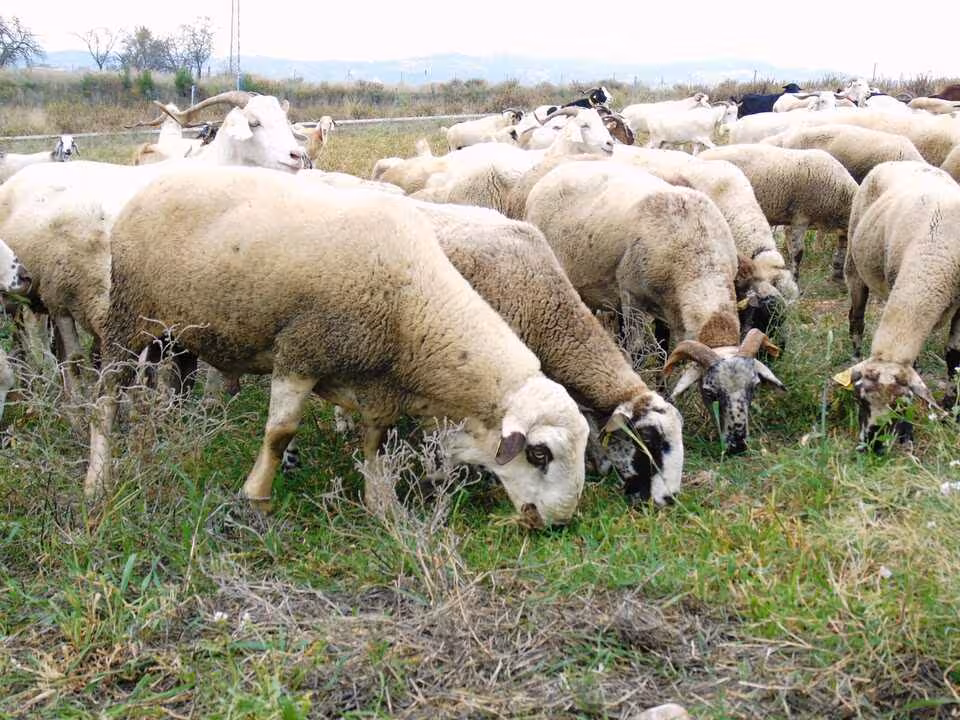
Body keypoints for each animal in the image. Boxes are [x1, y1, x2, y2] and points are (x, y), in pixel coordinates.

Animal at [89, 165, 590, 528]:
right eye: (539, 453)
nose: (557, 522)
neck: (412, 306)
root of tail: (158, 180)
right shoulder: (300, 352)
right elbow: (280, 433)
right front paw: (256, 498)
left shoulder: (379, 385)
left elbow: (376, 442)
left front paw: (382, 505)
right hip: (128, 315)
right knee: (107, 397)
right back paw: (98, 480)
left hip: (171, 332)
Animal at [521, 160, 785, 454]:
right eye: (709, 391)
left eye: (754, 387)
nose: (737, 445)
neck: (698, 254)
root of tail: (561, 169)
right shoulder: (632, 298)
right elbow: (637, 352)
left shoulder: (668, 309)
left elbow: (664, 352)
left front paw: (665, 394)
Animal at [842, 161, 960, 449]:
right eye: (860, 400)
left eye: (902, 403)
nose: (874, 445)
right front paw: (907, 433)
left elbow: (954, 357)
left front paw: (951, 409)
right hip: (854, 264)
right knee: (856, 319)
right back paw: (855, 353)